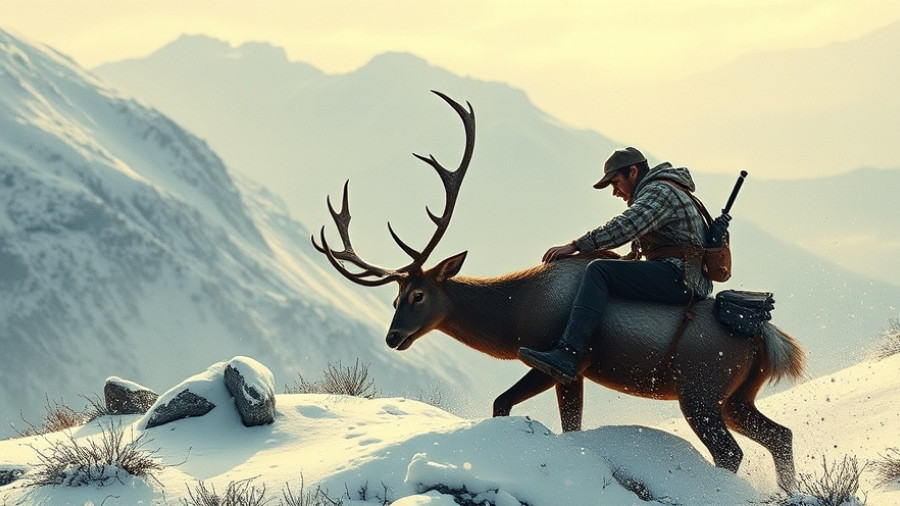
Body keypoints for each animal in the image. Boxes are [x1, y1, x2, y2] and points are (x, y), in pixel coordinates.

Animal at [313, 90, 805, 492]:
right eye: (394, 297)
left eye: (418, 295)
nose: (393, 337)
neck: (515, 317)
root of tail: (770, 339)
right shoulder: (578, 374)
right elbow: (538, 417)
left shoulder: (558, 361)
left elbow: (518, 407)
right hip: (735, 397)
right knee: (780, 435)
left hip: (699, 391)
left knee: (730, 452)